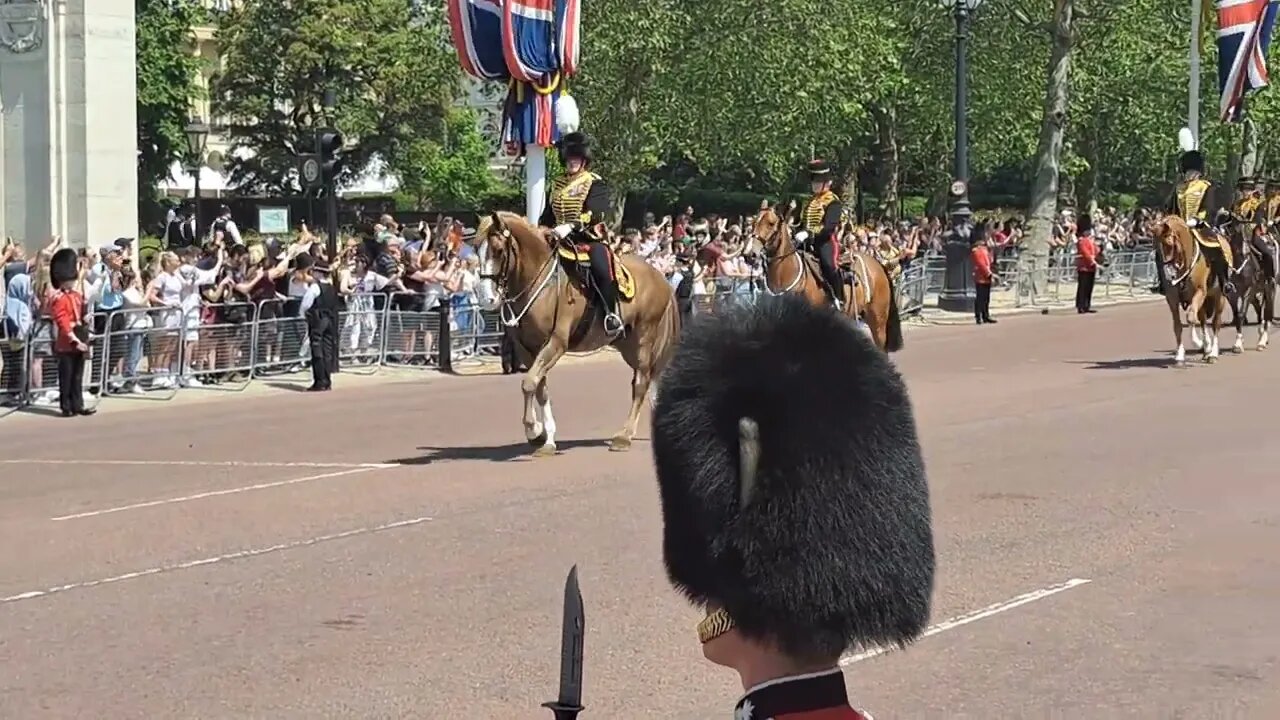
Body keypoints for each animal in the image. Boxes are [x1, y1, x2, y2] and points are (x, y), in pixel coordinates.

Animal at [478, 210, 680, 453]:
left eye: (498, 250)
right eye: (477, 249)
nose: (487, 299)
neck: (540, 283)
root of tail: (661, 276)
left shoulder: (556, 343)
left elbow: (529, 383)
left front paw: (533, 429)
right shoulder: (528, 349)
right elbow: (539, 387)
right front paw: (546, 438)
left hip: (643, 338)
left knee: (641, 383)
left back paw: (624, 436)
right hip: (627, 343)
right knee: (646, 380)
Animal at [752, 199, 906, 351]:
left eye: (771, 223)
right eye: (754, 222)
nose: (752, 252)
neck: (786, 274)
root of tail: (878, 264)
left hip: (878, 320)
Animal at [1152, 213, 1228, 363]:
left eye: (1169, 243)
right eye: (1155, 248)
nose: (1169, 275)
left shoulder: (1200, 291)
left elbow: (1191, 318)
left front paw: (1198, 343)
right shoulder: (1172, 298)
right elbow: (1178, 325)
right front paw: (1180, 354)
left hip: (1219, 297)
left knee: (1215, 323)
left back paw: (1213, 352)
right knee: (1203, 321)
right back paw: (1207, 349)